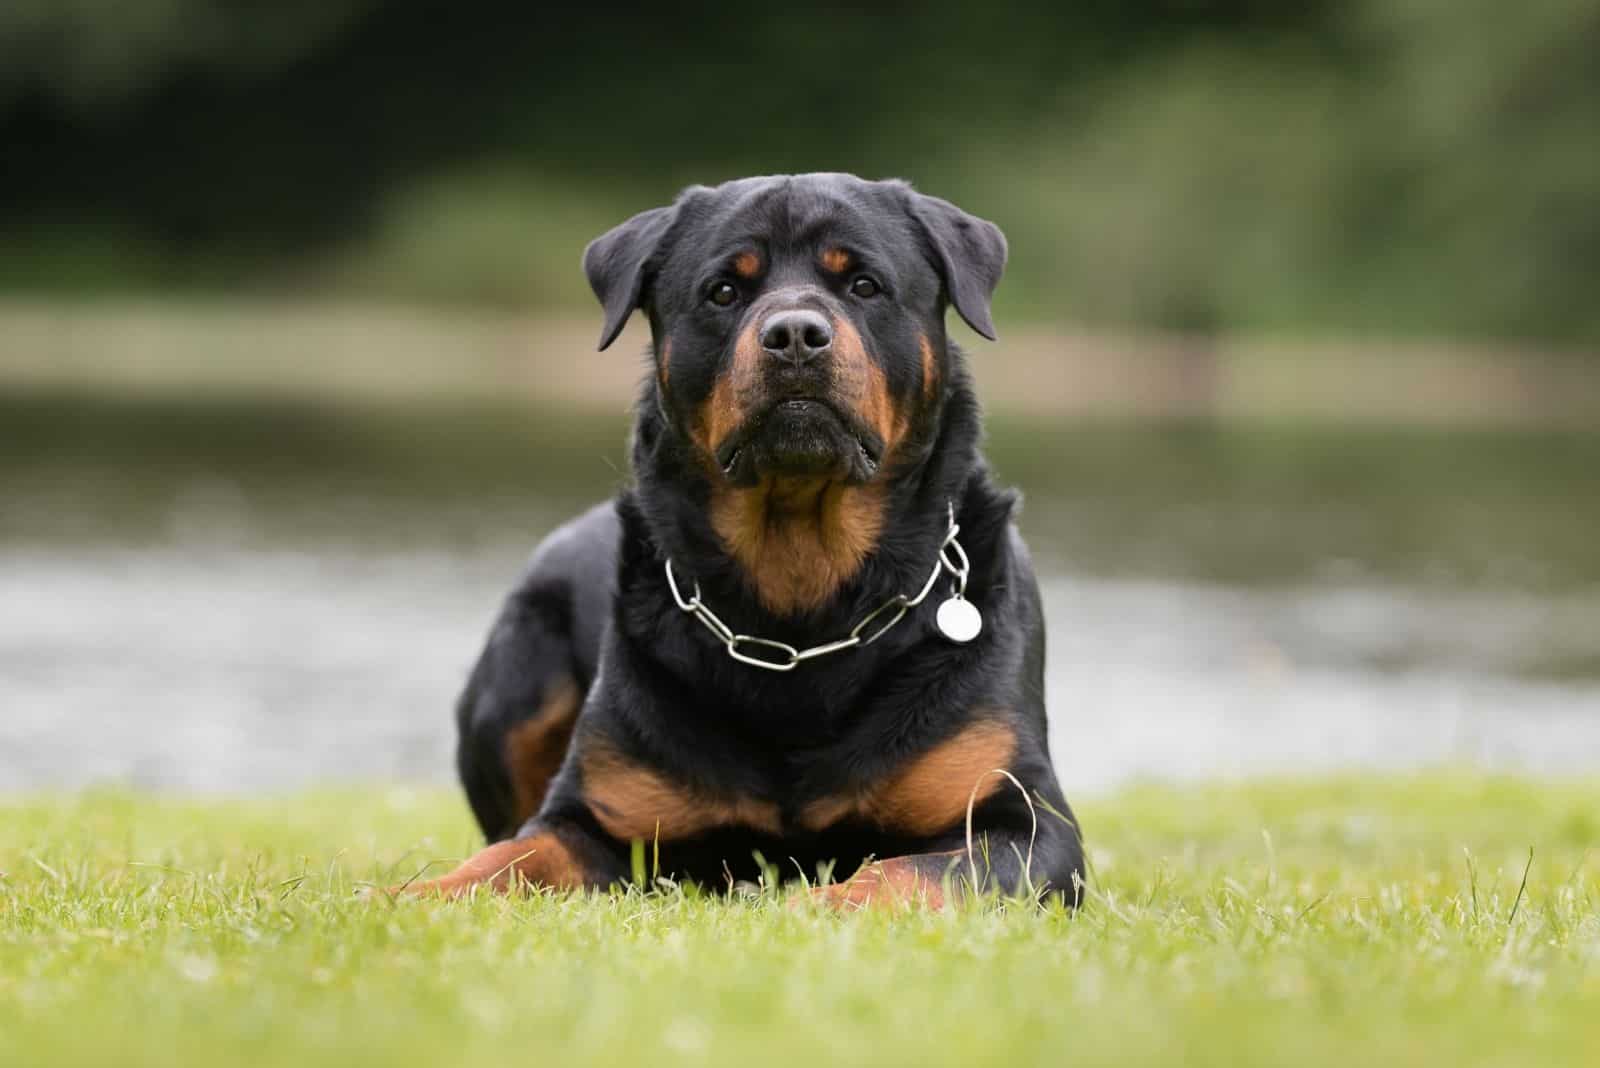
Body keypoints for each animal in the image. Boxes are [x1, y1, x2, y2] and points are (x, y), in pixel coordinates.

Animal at [406, 175, 1094, 908]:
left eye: (865, 285)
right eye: (724, 291)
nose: (794, 334)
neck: (801, 606)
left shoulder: (1025, 822)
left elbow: (903, 873)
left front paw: (815, 906)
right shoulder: (590, 816)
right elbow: (506, 859)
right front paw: (400, 896)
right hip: (515, 685)